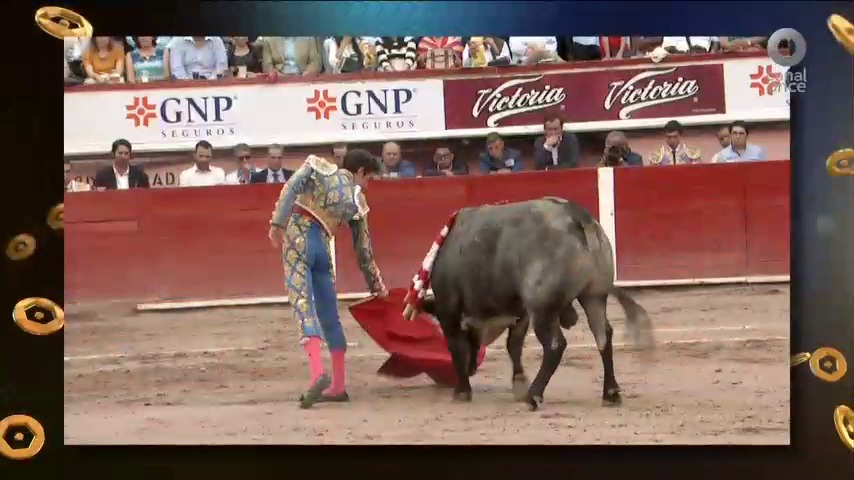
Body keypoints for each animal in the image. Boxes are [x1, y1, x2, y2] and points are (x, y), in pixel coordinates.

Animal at [420, 197, 656, 410]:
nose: (472, 370)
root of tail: (576, 214)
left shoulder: (449, 309)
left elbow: (456, 347)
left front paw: (462, 391)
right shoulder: (521, 312)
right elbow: (513, 345)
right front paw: (518, 384)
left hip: (543, 307)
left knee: (555, 345)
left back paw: (533, 396)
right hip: (594, 296)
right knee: (603, 336)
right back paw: (610, 393)